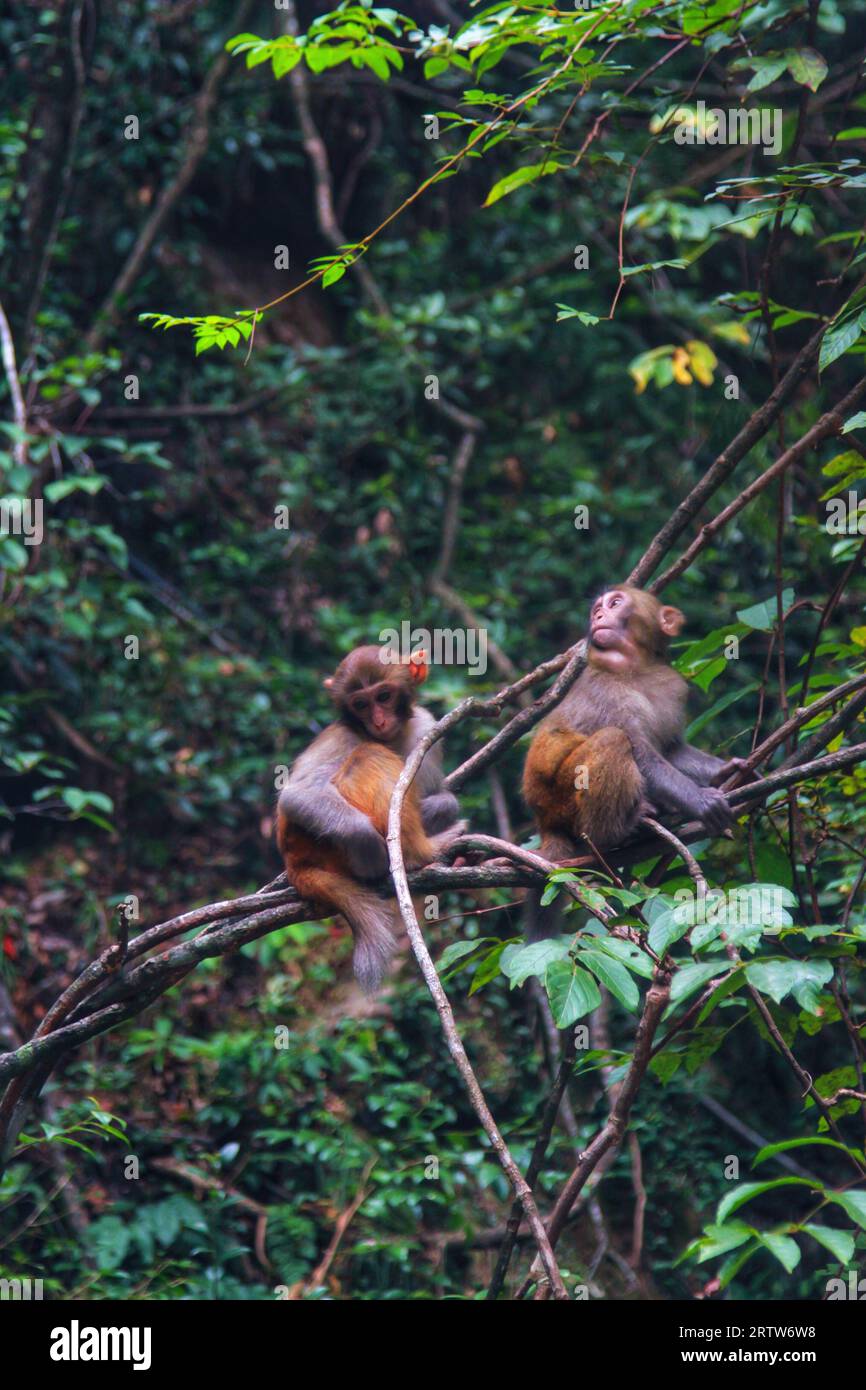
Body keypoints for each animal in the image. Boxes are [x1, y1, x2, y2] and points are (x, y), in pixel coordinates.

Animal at [278, 644, 467, 995]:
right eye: (361, 704)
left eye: (384, 696)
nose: (378, 721)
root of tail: (295, 864)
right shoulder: (343, 737)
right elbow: (297, 795)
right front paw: (368, 844)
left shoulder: (425, 727)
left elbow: (439, 795)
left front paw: (438, 808)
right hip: (321, 847)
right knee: (366, 756)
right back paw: (421, 853)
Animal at [522, 581, 750, 939]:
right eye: (597, 609)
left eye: (615, 603)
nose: (598, 616)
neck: (638, 669)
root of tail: (543, 820)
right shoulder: (607, 691)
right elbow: (642, 753)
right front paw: (700, 801)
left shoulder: (673, 687)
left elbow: (672, 750)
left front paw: (728, 770)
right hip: (558, 796)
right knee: (613, 740)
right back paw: (615, 833)